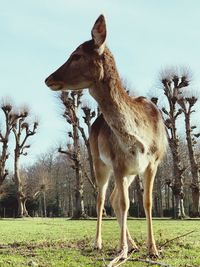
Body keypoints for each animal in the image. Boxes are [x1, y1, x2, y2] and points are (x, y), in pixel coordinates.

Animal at [45, 14, 167, 266]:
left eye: (76, 55)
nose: (48, 78)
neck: (140, 138)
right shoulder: (118, 162)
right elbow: (124, 204)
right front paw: (120, 251)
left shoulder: (152, 162)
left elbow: (146, 202)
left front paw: (153, 250)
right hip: (98, 160)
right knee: (102, 198)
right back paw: (100, 242)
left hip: (130, 173)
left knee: (112, 197)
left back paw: (133, 244)